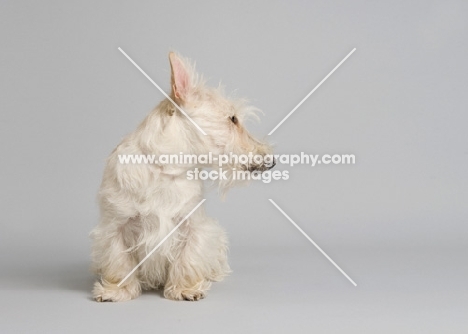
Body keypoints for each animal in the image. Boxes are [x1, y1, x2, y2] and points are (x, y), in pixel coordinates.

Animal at [91, 52, 272, 302]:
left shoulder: (192, 225)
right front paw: (116, 291)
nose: (272, 160)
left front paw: (186, 289)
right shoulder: (116, 226)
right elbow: (119, 262)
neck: (165, 169)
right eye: (233, 119)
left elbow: (188, 258)